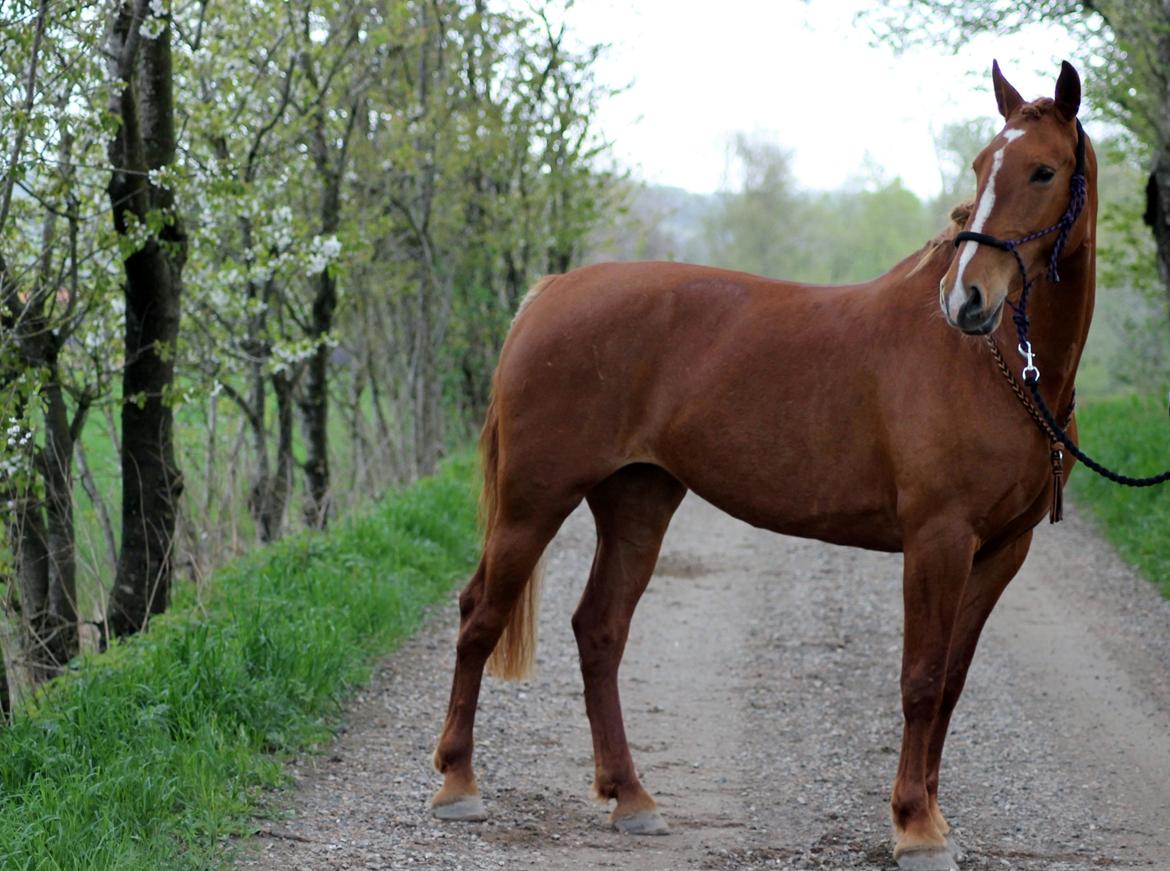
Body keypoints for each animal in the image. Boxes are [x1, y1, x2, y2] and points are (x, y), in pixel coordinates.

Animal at [432, 62, 1095, 870]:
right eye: (979, 167)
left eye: (1044, 170)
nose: (966, 298)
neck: (994, 366)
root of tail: (550, 293)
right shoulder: (937, 541)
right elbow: (920, 679)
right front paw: (915, 825)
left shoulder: (1001, 550)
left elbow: (951, 683)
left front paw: (933, 816)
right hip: (534, 500)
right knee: (479, 616)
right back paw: (458, 785)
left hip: (637, 501)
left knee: (599, 631)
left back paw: (632, 798)